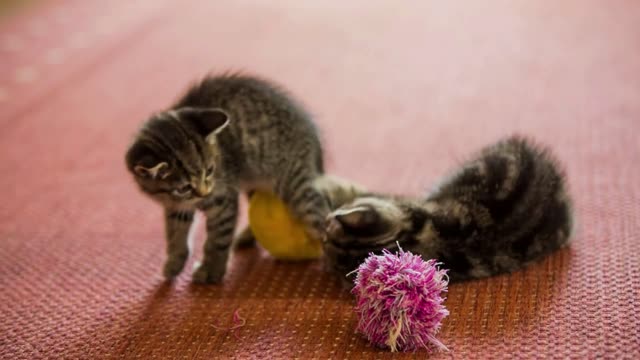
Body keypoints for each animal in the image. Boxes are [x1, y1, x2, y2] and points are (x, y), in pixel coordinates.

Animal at [124, 74, 328, 284]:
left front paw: (212, 270)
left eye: (210, 170)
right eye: (184, 188)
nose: (205, 192)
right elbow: (175, 234)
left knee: (322, 217)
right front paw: (174, 262)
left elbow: (218, 239)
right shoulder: (177, 206)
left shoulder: (222, 199)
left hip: (294, 184)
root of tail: (311, 132)